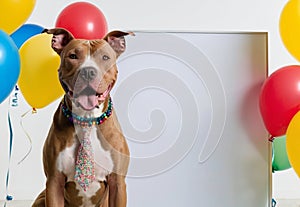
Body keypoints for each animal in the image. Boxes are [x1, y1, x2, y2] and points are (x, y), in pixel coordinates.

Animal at [31, 27, 132, 207]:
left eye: (105, 57)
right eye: (73, 56)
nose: (88, 71)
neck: (87, 120)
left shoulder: (118, 183)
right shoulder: (54, 182)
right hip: (41, 199)